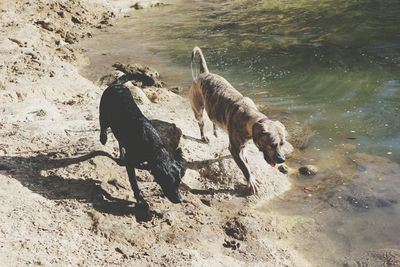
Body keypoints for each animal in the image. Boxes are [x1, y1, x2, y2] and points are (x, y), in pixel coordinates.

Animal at [189, 46, 292, 195]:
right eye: (272, 144)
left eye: (283, 144)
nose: (282, 159)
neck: (251, 118)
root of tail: (204, 74)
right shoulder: (235, 149)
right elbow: (244, 167)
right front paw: (251, 181)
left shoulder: (243, 144)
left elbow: (245, 156)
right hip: (197, 110)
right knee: (201, 123)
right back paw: (204, 136)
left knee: (213, 119)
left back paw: (215, 131)